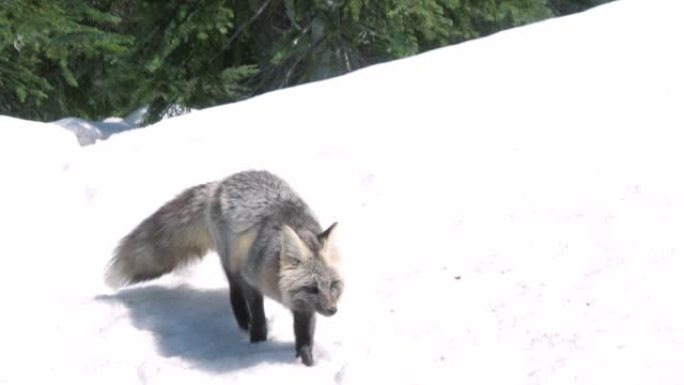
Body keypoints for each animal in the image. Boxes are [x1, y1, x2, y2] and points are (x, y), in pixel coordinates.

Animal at [105, 170, 344, 364]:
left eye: (332, 286)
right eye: (312, 288)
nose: (333, 311)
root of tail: (221, 182)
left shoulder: (303, 307)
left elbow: (304, 338)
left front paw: (306, 363)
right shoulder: (250, 279)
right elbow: (258, 313)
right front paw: (258, 342)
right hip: (231, 264)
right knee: (234, 293)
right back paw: (243, 322)